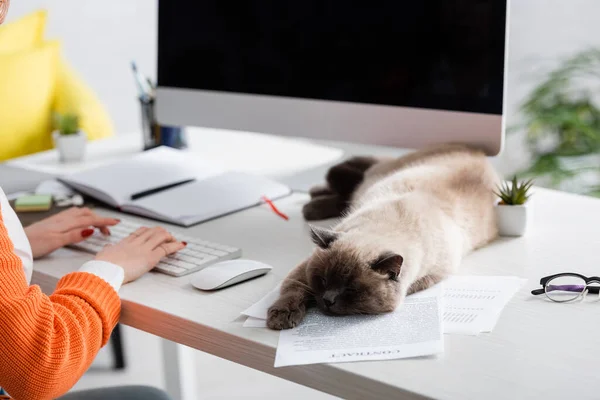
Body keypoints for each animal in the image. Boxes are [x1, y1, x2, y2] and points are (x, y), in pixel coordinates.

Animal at [266, 145, 496, 330]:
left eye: (351, 289)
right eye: (323, 280)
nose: (327, 300)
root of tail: (477, 152)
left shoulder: (432, 276)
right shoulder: (304, 268)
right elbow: (293, 289)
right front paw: (281, 317)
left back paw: (312, 202)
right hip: (367, 178)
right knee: (343, 184)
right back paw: (312, 200)